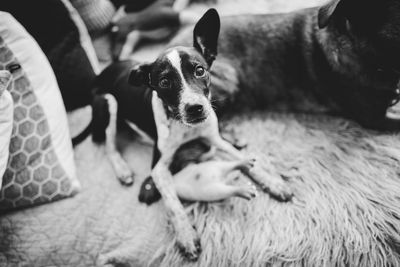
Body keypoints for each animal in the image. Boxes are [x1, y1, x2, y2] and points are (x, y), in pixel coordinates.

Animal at [73, 8, 290, 262]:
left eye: (200, 70)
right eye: (164, 82)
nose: (195, 108)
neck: (186, 127)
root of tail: (100, 75)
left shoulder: (214, 139)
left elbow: (245, 160)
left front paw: (273, 182)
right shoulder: (159, 168)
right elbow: (173, 204)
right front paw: (186, 236)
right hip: (108, 102)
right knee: (106, 142)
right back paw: (122, 168)